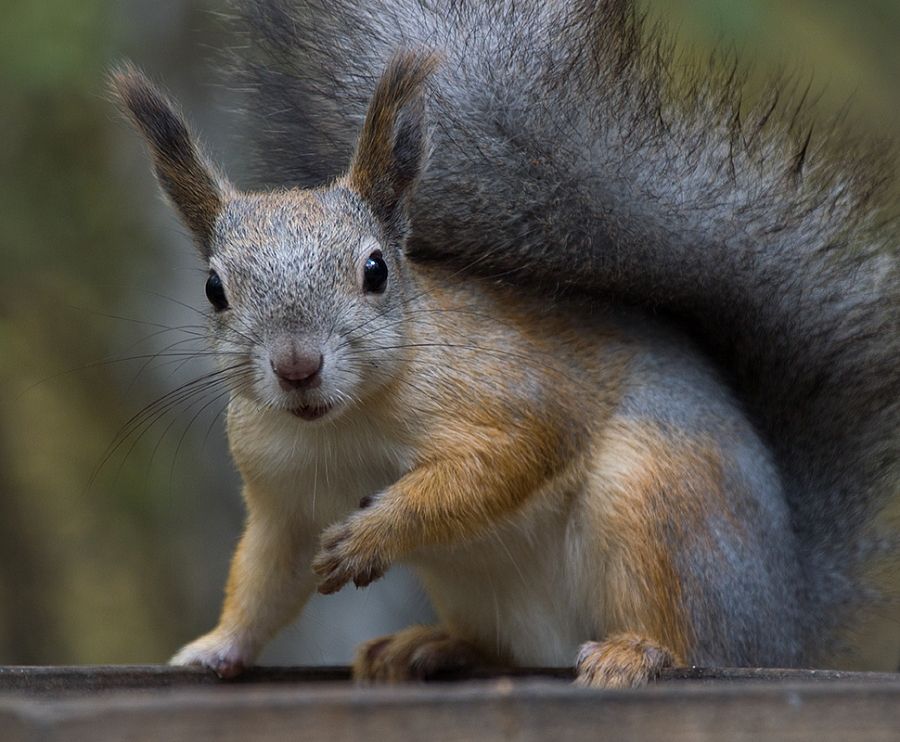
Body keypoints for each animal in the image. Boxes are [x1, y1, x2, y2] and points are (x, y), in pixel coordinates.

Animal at [113, 0, 900, 688]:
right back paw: (428, 647)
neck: (340, 429)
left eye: (376, 270)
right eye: (215, 289)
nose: (297, 366)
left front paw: (375, 534)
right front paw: (214, 649)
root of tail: (783, 621)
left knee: (687, 638)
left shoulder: (513, 391)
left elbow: (504, 463)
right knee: (502, 652)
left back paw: (636, 652)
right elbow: (265, 580)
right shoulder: (278, 496)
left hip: (654, 502)